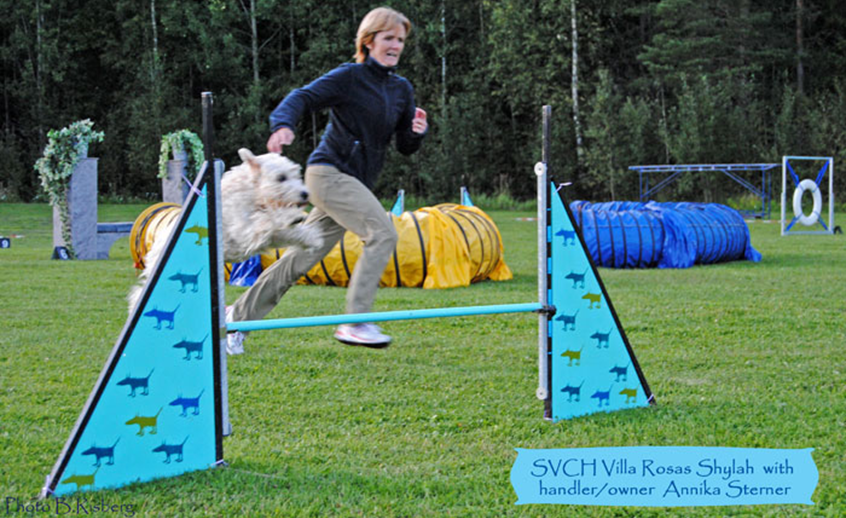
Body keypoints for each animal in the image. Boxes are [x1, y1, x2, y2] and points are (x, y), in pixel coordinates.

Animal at [127, 148, 322, 310]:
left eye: (296, 173)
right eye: (281, 177)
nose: (305, 194)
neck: (252, 192)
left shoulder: (267, 236)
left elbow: (289, 231)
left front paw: (312, 238)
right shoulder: (247, 231)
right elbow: (270, 219)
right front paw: (291, 216)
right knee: (140, 293)